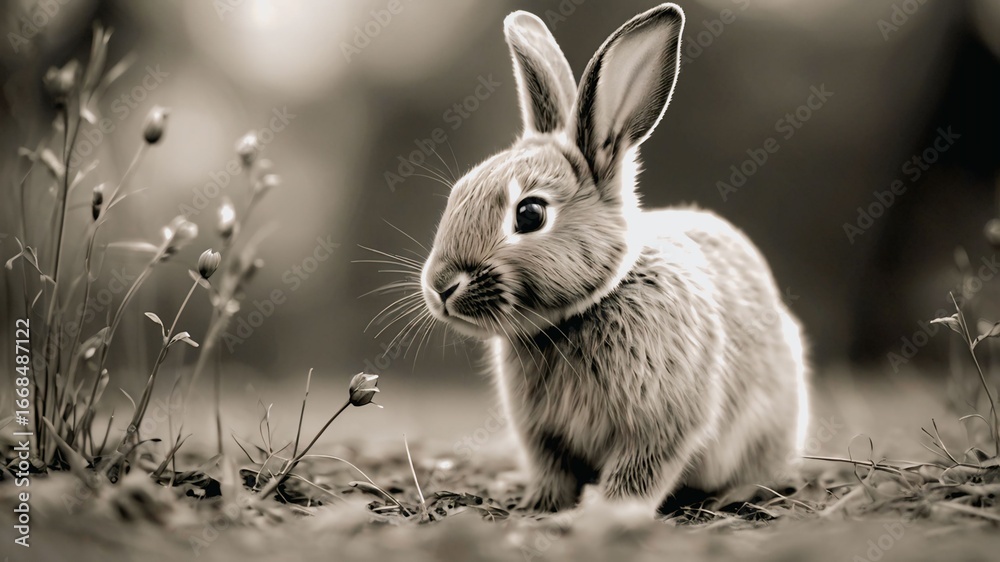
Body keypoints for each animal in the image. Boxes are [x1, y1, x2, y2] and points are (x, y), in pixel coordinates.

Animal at [418, 3, 810, 515]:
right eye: (458, 193)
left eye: (529, 214)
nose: (440, 286)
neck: (578, 315)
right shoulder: (545, 436)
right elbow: (553, 471)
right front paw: (540, 506)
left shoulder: (662, 424)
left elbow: (638, 472)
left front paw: (605, 514)